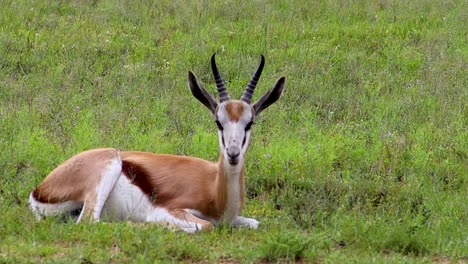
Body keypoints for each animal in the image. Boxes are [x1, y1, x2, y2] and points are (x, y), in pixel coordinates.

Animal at [30, 54, 286, 233]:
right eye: (218, 122)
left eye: (249, 122)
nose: (233, 154)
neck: (215, 190)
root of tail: (39, 189)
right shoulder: (172, 209)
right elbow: (206, 226)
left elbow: (254, 222)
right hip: (108, 170)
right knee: (90, 222)